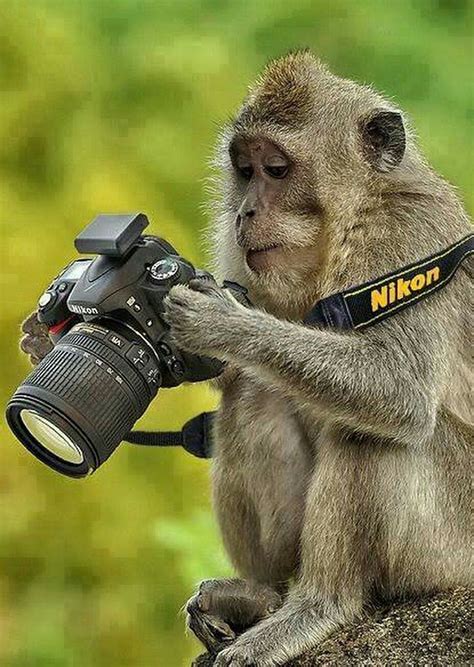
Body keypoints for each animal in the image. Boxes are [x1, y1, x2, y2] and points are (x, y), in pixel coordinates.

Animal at [19, 51, 472, 667]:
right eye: (245, 169)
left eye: (277, 169)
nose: (248, 212)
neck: (349, 224)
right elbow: (227, 375)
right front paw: (45, 333)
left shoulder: (408, 240)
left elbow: (399, 388)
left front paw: (225, 323)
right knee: (257, 396)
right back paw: (260, 595)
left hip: (450, 546)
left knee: (369, 431)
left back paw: (319, 606)